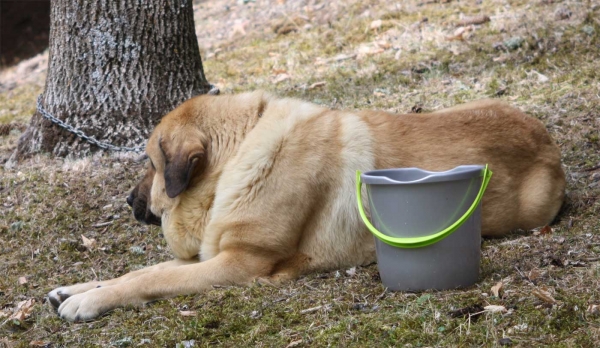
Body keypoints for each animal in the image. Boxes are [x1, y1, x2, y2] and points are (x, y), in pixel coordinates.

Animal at [49, 90, 564, 320]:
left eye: (150, 164)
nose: (127, 200)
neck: (239, 153)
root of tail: (547, 139)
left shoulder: (239, 262)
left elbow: (152, 277)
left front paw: (88, 302)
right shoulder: (213, 253)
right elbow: (141, 270)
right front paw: (77, 288)